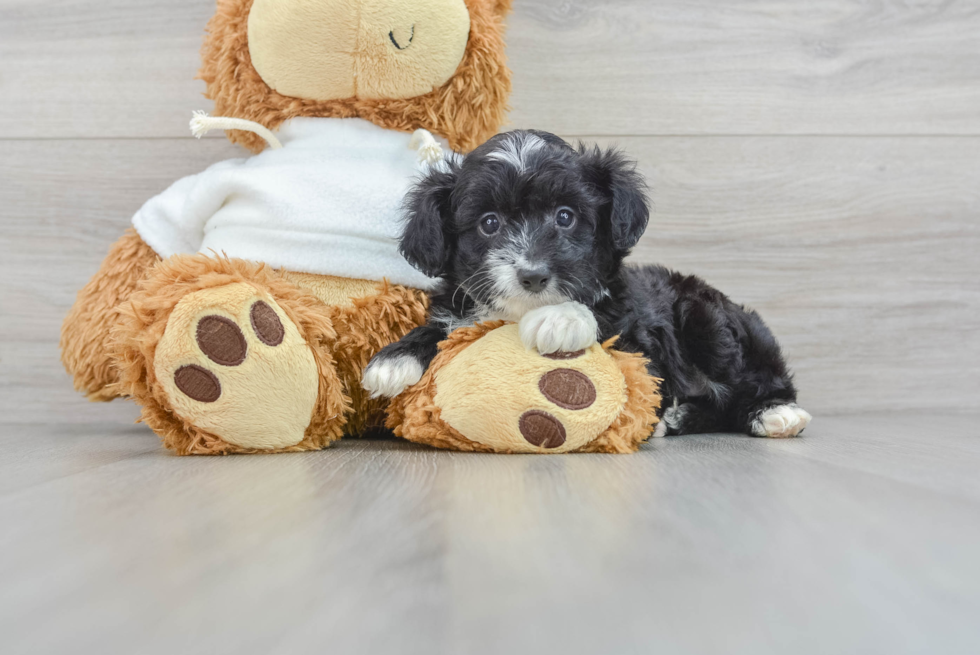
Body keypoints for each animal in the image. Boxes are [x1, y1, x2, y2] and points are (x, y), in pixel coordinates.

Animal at [364, 131, 808, 438]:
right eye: (489, 223)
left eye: (565, 216)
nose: (533, 274)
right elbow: (442, 330)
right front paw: (393, 359)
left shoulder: (637, 338)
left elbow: (599, 317)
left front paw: (559, 319)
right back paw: (680, 416)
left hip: (707, 321)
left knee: (758, 380)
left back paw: (775, 413)